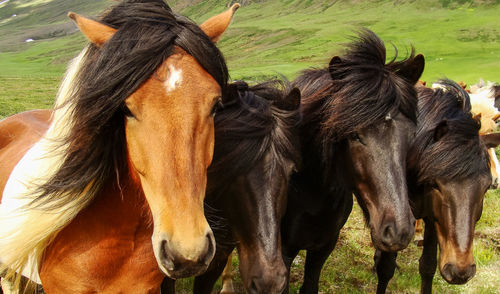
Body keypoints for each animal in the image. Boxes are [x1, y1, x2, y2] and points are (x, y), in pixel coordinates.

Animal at [280, 28, 424, 292]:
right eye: (354, 135)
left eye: (410, 133)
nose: (398, 230)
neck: (310, 187)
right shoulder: (283, 249)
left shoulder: (324, 245)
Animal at [374, 79, 494, 292]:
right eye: (436, 184)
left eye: (486, 187)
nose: (460, 271)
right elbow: (385, 268)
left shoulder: (432, 218)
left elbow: (427, 266)